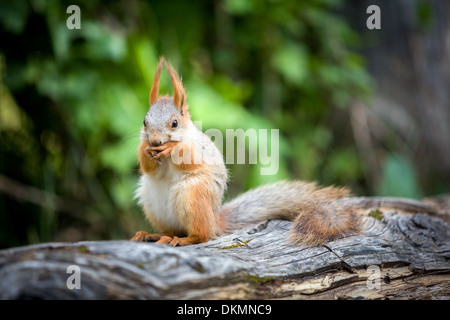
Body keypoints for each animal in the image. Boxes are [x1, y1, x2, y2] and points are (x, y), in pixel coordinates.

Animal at [130, 57, 362, 246]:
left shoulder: (199, 148)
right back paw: (152, 235)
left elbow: (189, 158)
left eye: (175, 123)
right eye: (144, 122)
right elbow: (147, 167)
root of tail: (214, 220)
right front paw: (146, 150)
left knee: (201, 235)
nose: (155, 140)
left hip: (193, 197)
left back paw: (183, 239)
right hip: (152, 204)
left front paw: (170, 148)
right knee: (171, 230)